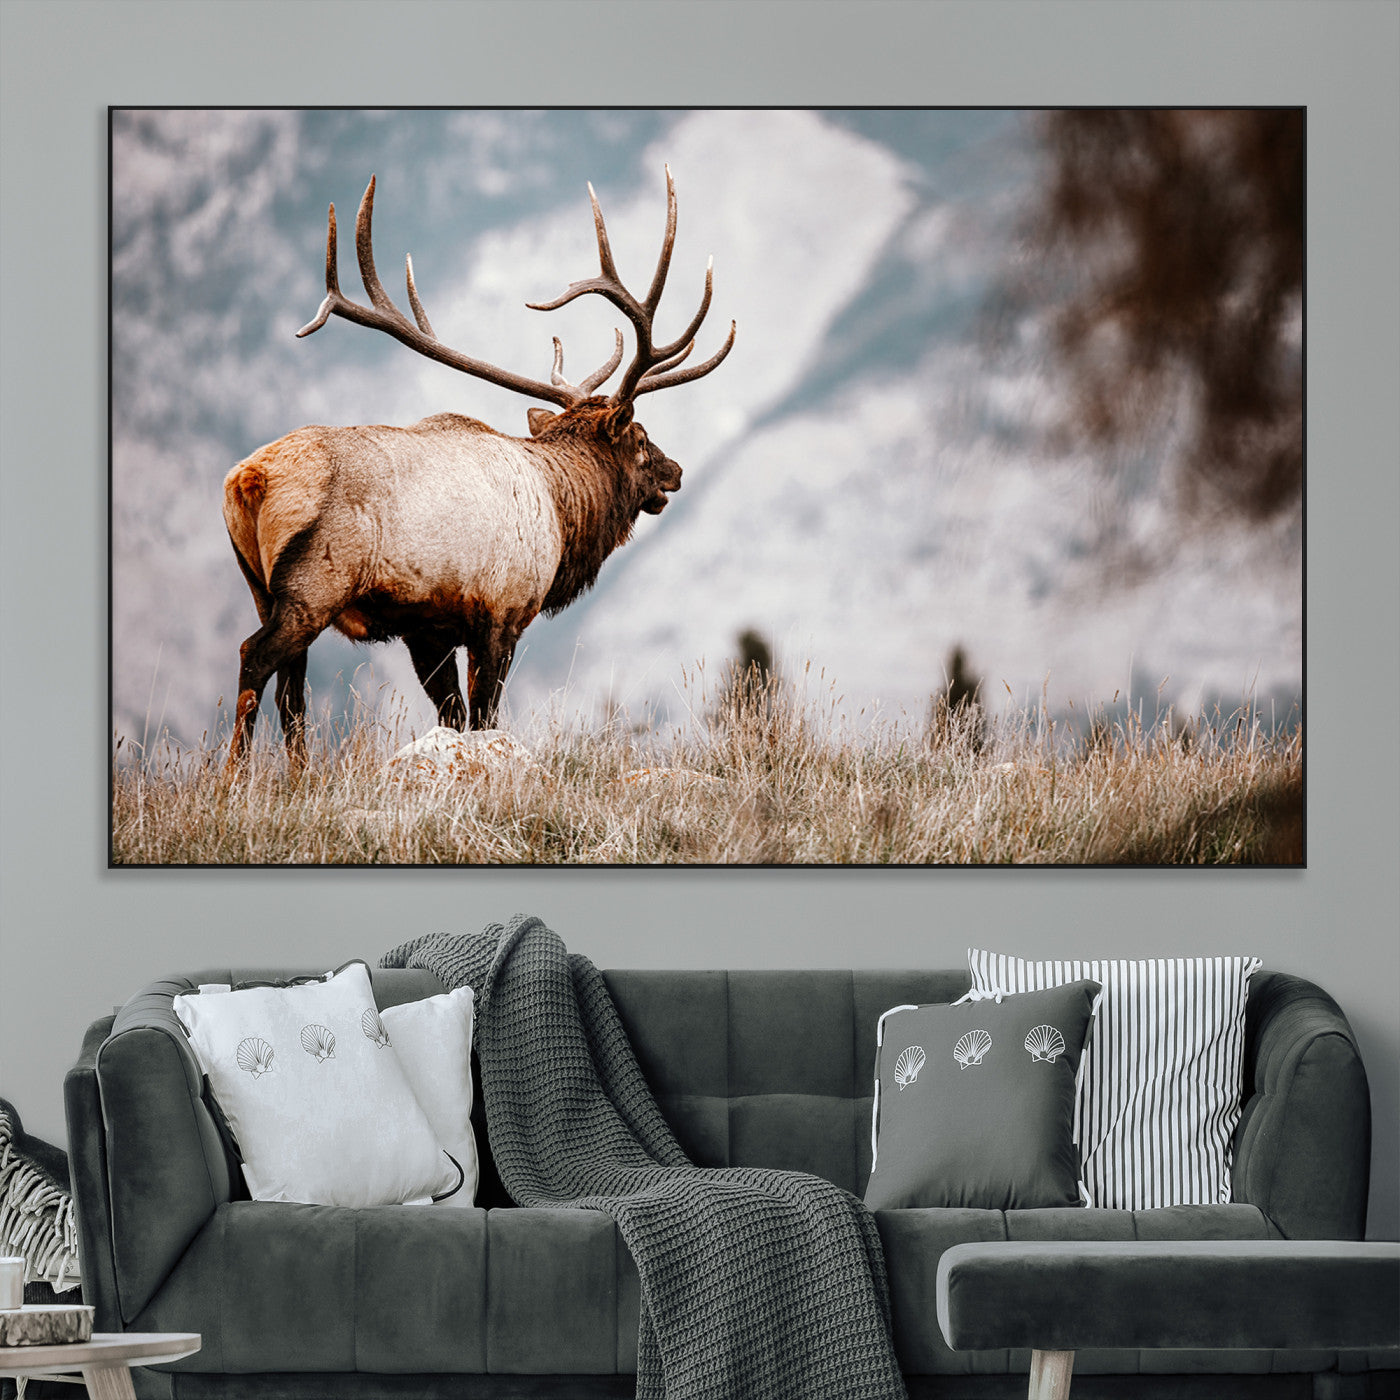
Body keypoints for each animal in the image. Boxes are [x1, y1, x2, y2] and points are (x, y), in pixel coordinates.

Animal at [222, 166, 734, 773]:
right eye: (638, 437)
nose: (675, 471)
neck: (562, 517)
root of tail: (249, 480)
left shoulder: (427, 628)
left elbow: (453, 715)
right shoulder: (503, 612)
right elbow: (485, 716)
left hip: (259, 584)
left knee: (291, 688)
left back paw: (301, 776)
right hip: (315, 585)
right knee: (256, 657)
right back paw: (230, 776)